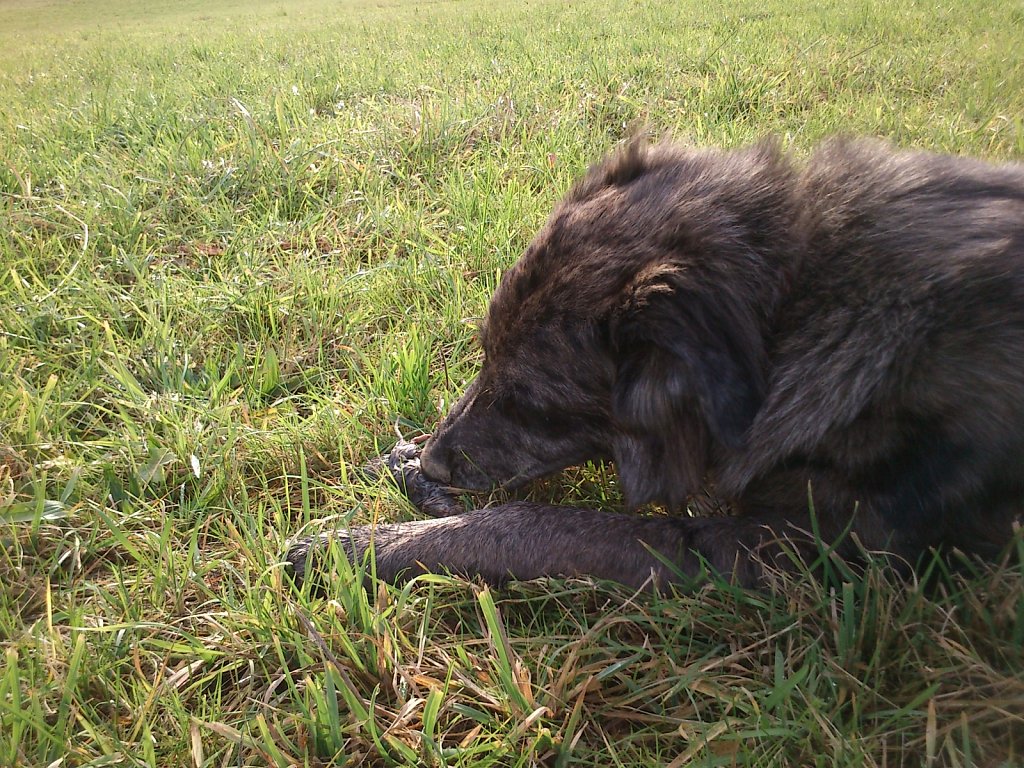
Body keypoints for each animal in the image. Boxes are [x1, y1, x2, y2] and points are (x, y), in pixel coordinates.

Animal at [286, 140, 1024, 589]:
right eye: (484, 352)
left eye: (533, 404)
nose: (437, 461)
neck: (791, 308)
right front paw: (404, 471)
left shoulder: (764, 550)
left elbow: (529, 524)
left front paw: (361, 546)